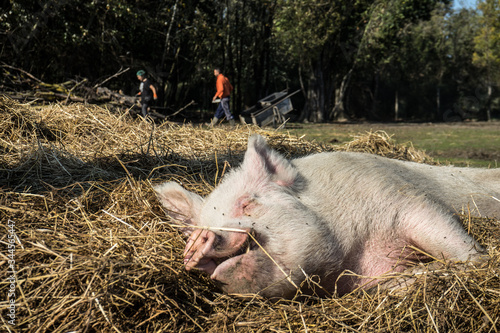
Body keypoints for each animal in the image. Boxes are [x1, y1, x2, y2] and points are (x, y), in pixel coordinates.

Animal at [154, 134, 498, 296]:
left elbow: (454, 245)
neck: (348, 260)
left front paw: (475, 262)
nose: (200, 238)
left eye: (247, 203)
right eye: (200, 226)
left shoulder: (406, 200)